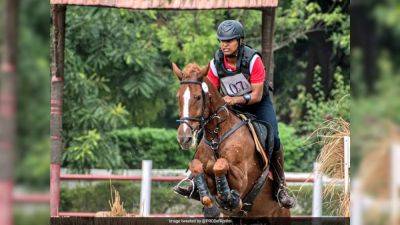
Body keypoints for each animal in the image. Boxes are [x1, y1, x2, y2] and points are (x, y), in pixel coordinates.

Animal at [172, 62, 290, 218]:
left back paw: (284, 196)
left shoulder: (241, 178)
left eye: (197, 97)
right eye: (178, 97)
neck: (216, 137)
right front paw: (211, 208)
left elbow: (220, 165)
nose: (184, 138)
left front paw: (229, 197)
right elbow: (196, 166)